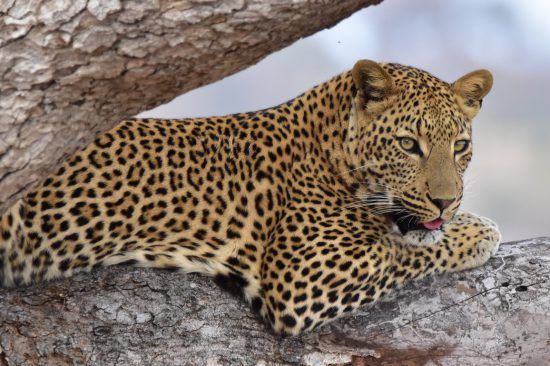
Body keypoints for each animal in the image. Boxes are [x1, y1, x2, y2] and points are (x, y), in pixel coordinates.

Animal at [0, 59, 500, 334]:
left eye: (460, 146)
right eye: (408, 145)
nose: (446, 202)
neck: (330, 145)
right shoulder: (303, 274)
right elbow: (402, 251)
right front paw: (477, 231)